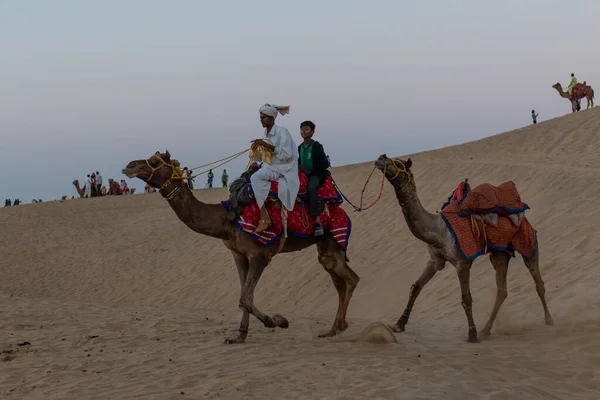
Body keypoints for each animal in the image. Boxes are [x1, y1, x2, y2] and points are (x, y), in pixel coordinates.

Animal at [119, 150, 358, 344]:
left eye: (153, 161)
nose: (128, 165)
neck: (227, 219)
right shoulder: (238, 254)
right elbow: (244, 296)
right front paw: (239, 336)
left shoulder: (260, 255)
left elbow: (245, 298)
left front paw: (278, 320)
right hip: (325, 247)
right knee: (338, 279)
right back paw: (332, 329)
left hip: (333, 239)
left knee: (351, 278)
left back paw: (340, 327)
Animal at [376, 155, 552, 342]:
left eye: (398, 163)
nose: (381, 158)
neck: (438, 230)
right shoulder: (435, 260)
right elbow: (415, 287)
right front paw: (399, 325)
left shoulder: (462, 262)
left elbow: (466, 298)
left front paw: (472, 334)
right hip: (500, 253)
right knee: (502, 290)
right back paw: (486, 330)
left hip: (528, 243)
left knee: (538, 282)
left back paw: (549, 321)